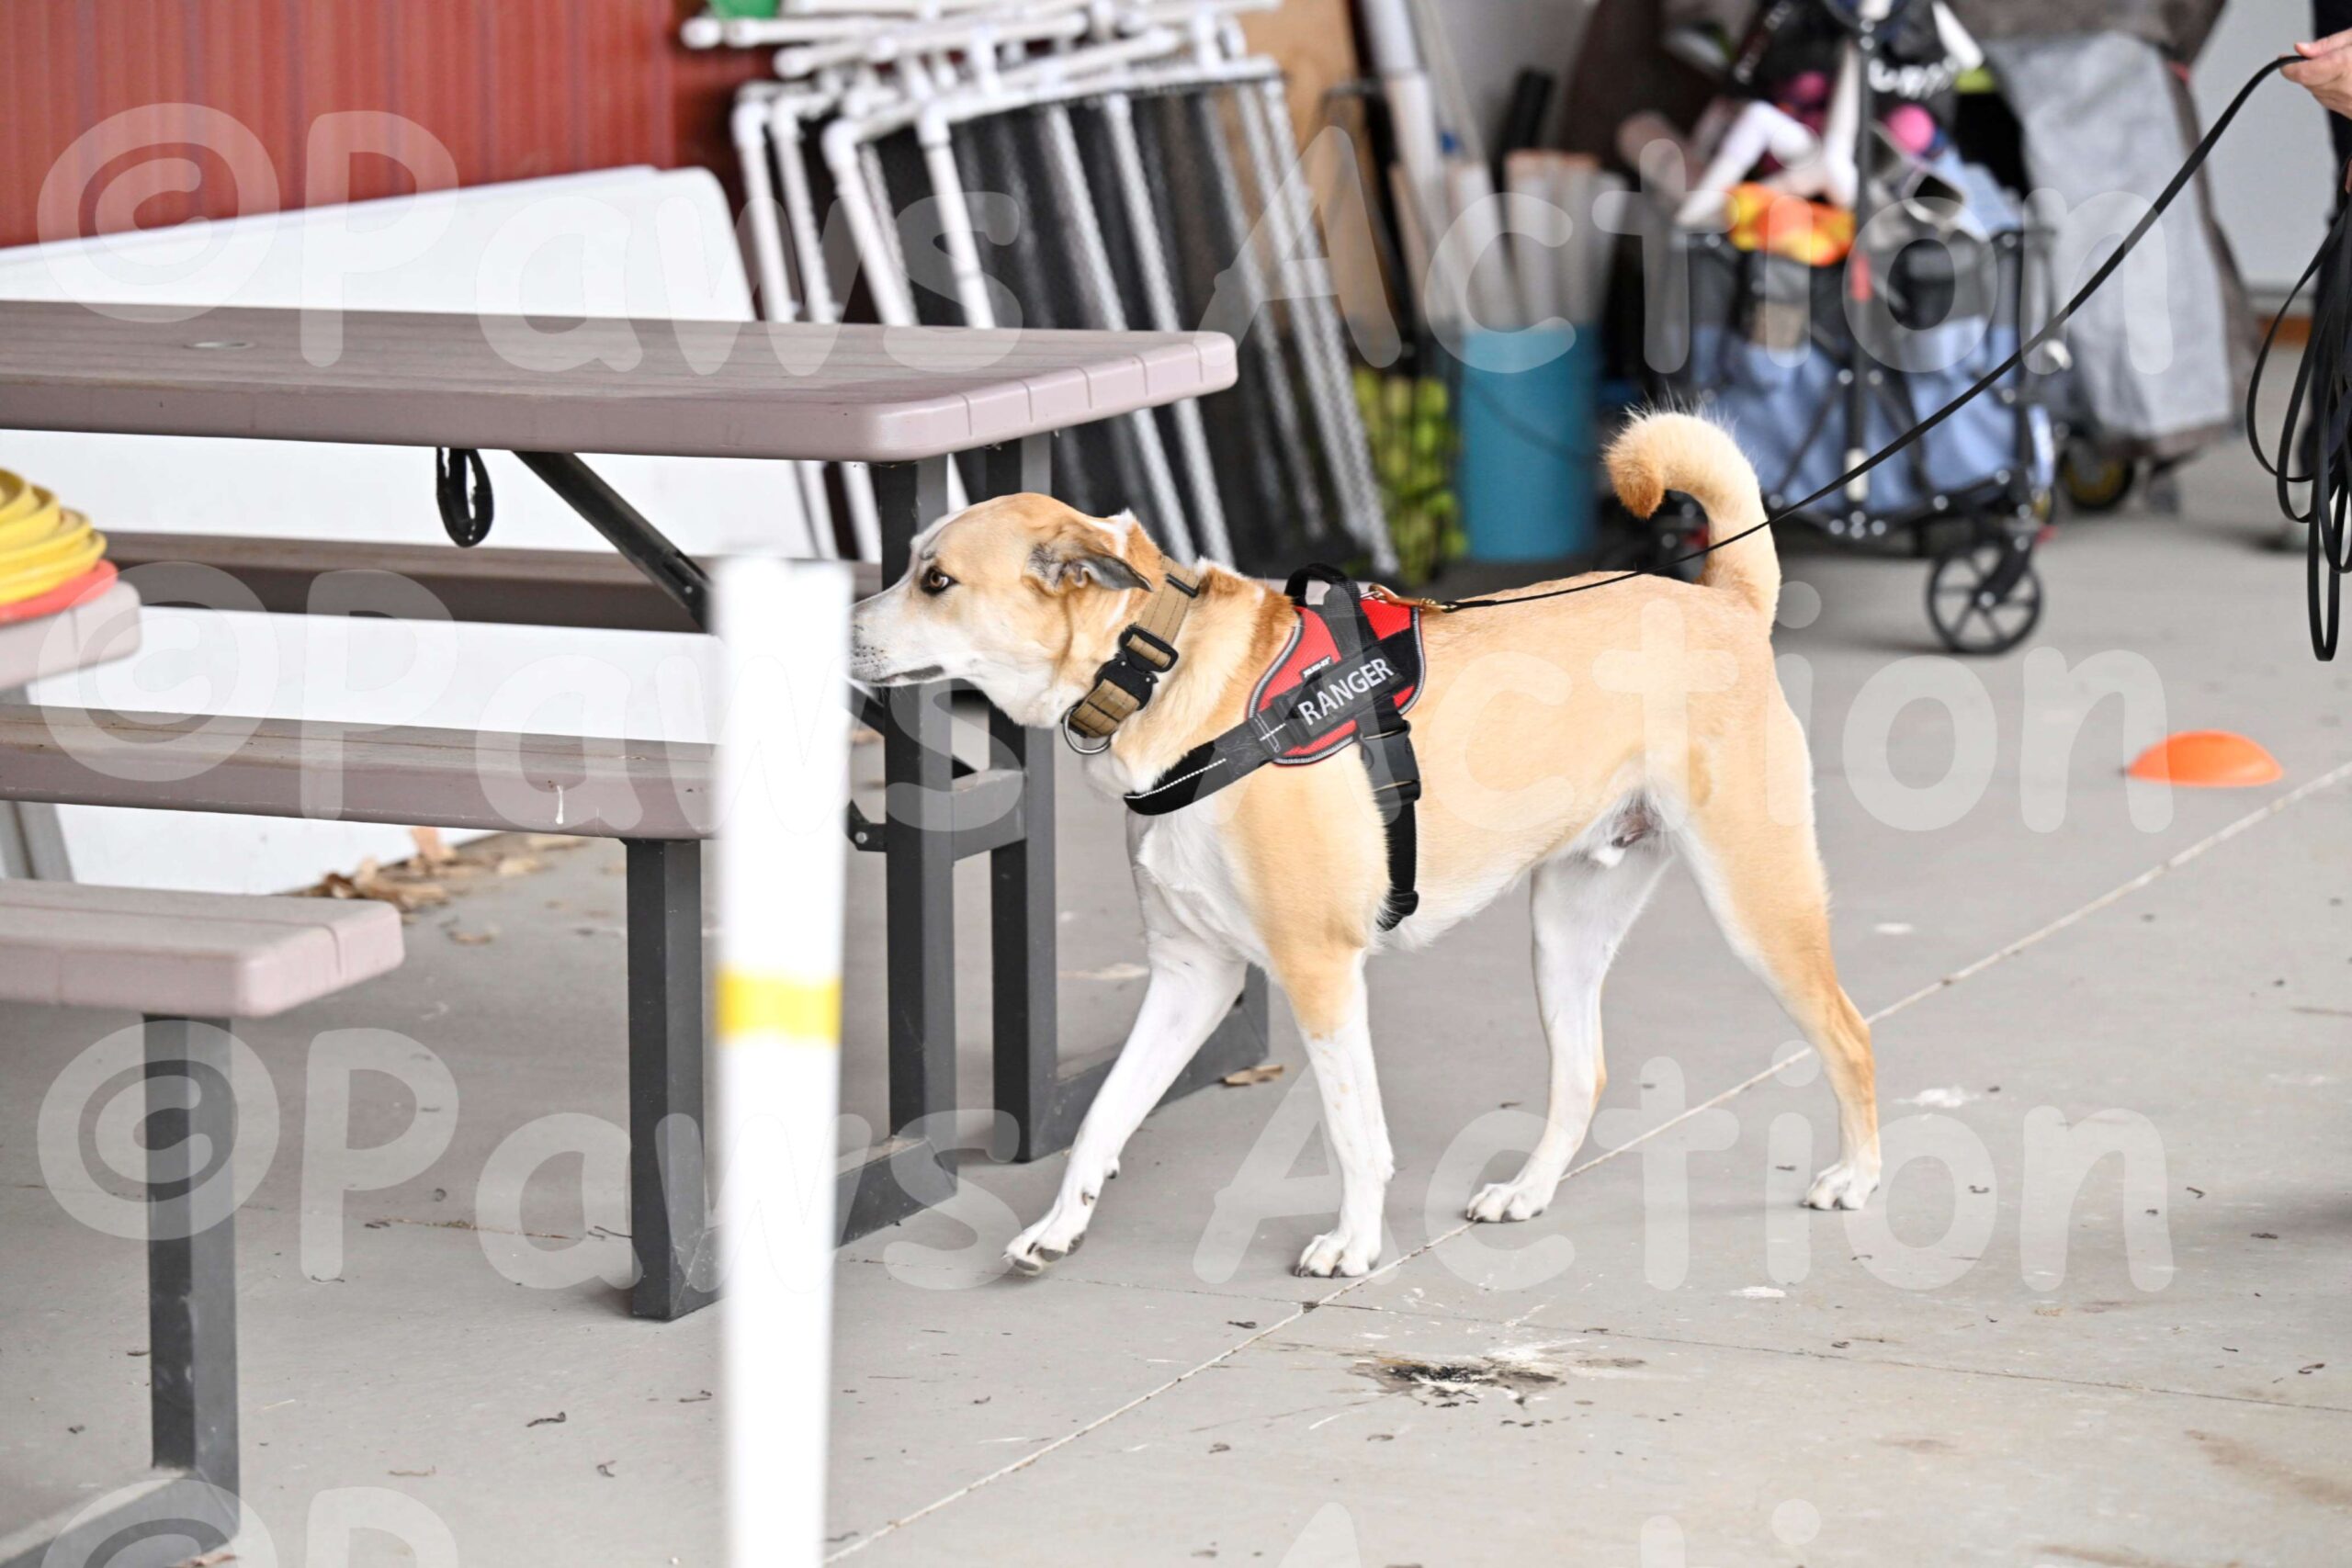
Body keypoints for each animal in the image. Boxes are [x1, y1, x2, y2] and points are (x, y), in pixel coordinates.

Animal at [849, 412, 1879, 1278]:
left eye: (936, 581)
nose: (841, 625)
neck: (1164, 671)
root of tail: (1725, 600)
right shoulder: (1191, 973)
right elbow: (1106, 1112)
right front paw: (1061, 1223)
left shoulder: (1318, 967)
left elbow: (1354, 1133)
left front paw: (1352, 1244)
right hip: (1567, 929)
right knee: (1581, 1074)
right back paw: (1529, 1190)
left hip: (1757, 903)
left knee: (1848, 1032)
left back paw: (1856, 1178)